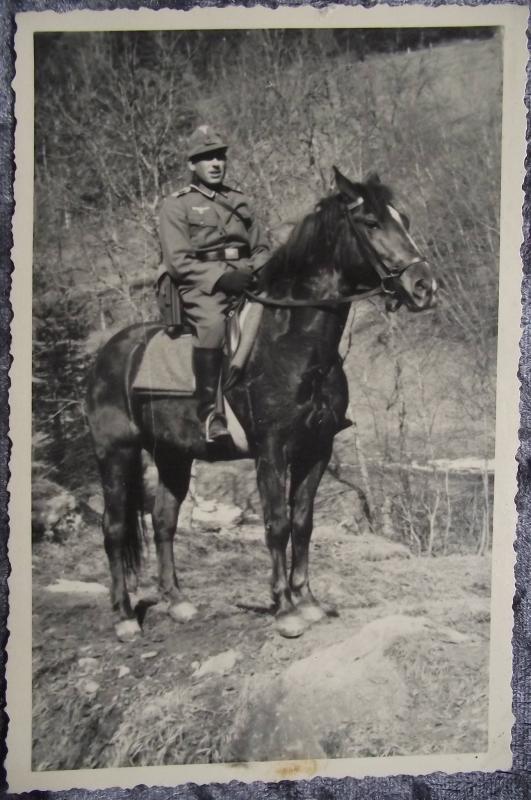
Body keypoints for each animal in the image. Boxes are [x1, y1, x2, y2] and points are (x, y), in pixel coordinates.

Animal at [86, 166, 436, 640]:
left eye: (405, 219)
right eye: (371, 223)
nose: (424, 287)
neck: (293, 343)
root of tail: (109, 352)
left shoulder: (316, 450)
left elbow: (303, 523)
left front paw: (308, 601)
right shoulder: (271, 451)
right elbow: (276, 523)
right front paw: (286, 610)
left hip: (174, 456)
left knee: (163, 521)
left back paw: (177, 602)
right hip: (116, 454)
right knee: (115, 527)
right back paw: (124, 617)